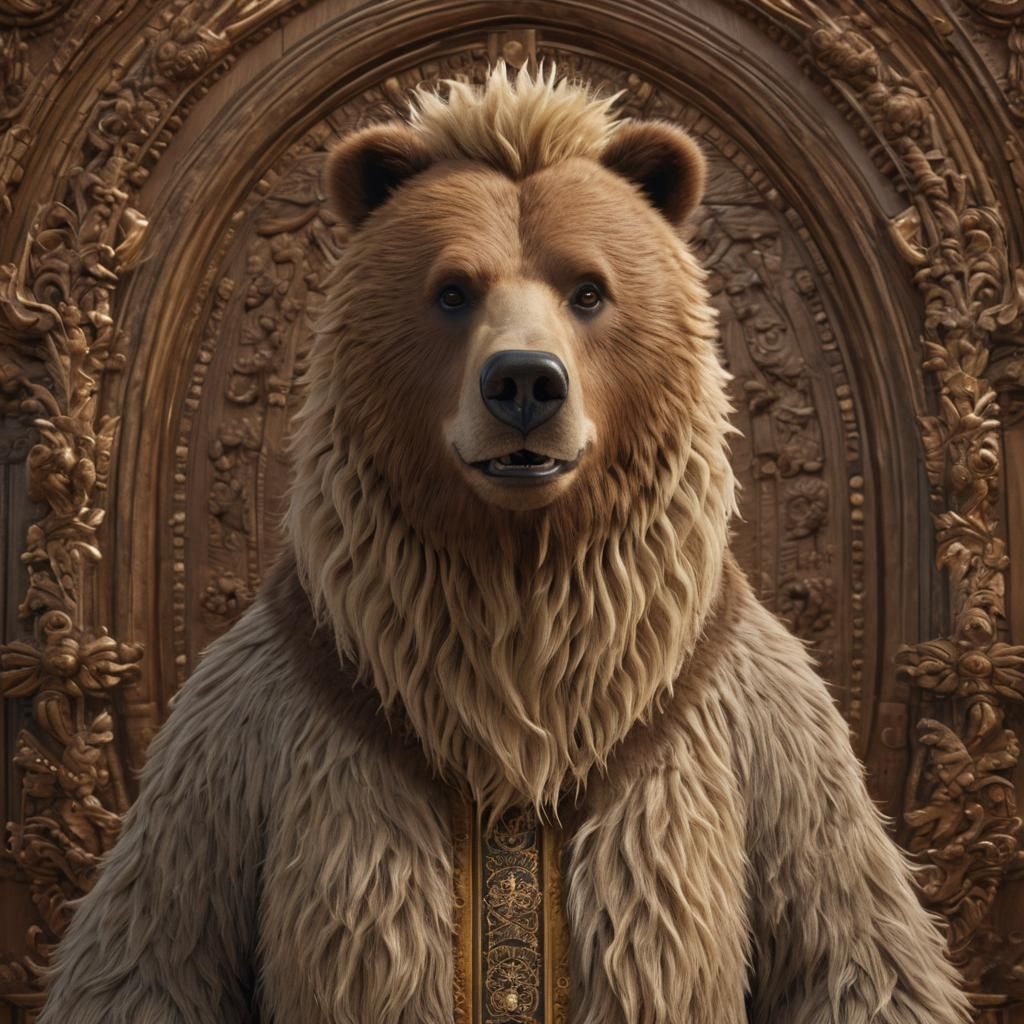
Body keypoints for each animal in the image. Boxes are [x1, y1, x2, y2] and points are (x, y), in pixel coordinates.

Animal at [39, 64, 970, 1024]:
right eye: (453, 289)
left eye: (589, 288)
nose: (525, 380)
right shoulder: (256, 728)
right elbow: (154, 956)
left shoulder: (756, 726)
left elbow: (851, 951)